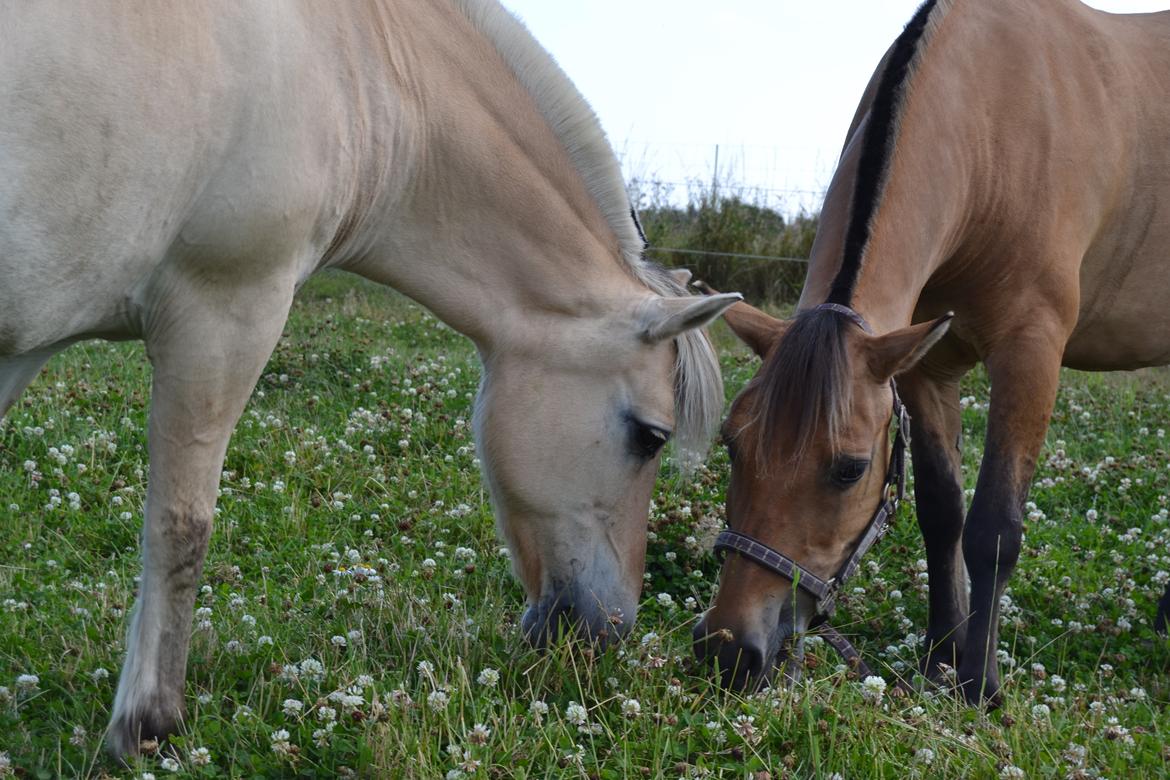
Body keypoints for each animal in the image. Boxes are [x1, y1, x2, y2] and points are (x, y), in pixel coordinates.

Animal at [0, 0, 739, 757]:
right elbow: (182, 529)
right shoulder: (225, 313)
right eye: (651, 436)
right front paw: (148, 723)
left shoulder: (24, 338)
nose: (611, 629)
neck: (362, 69)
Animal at [692, 0, 1170, 701]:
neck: (994, 130)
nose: (728, 652)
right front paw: (940, 656)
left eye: (850, 469)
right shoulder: (926, 364)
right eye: (731, 442)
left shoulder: (1030, 353)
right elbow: (942, 513)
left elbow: (995, 528)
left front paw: (979, 685)